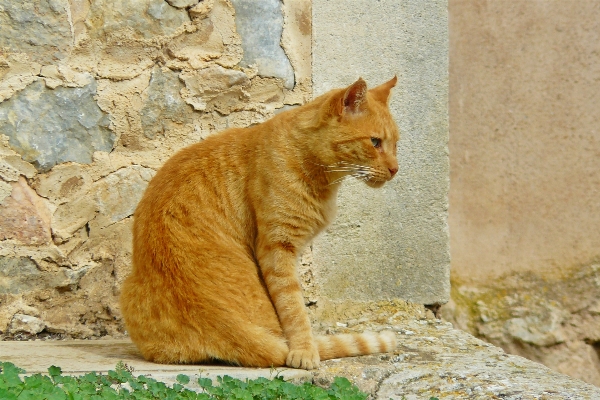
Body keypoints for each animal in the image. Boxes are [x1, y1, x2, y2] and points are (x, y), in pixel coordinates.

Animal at [119, 76, 400, 368]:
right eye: (375, 142)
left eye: (395, 144)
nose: (395, 169)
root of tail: (226, 325)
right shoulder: (277, 248)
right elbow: (293, 306)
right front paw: (304, 350)